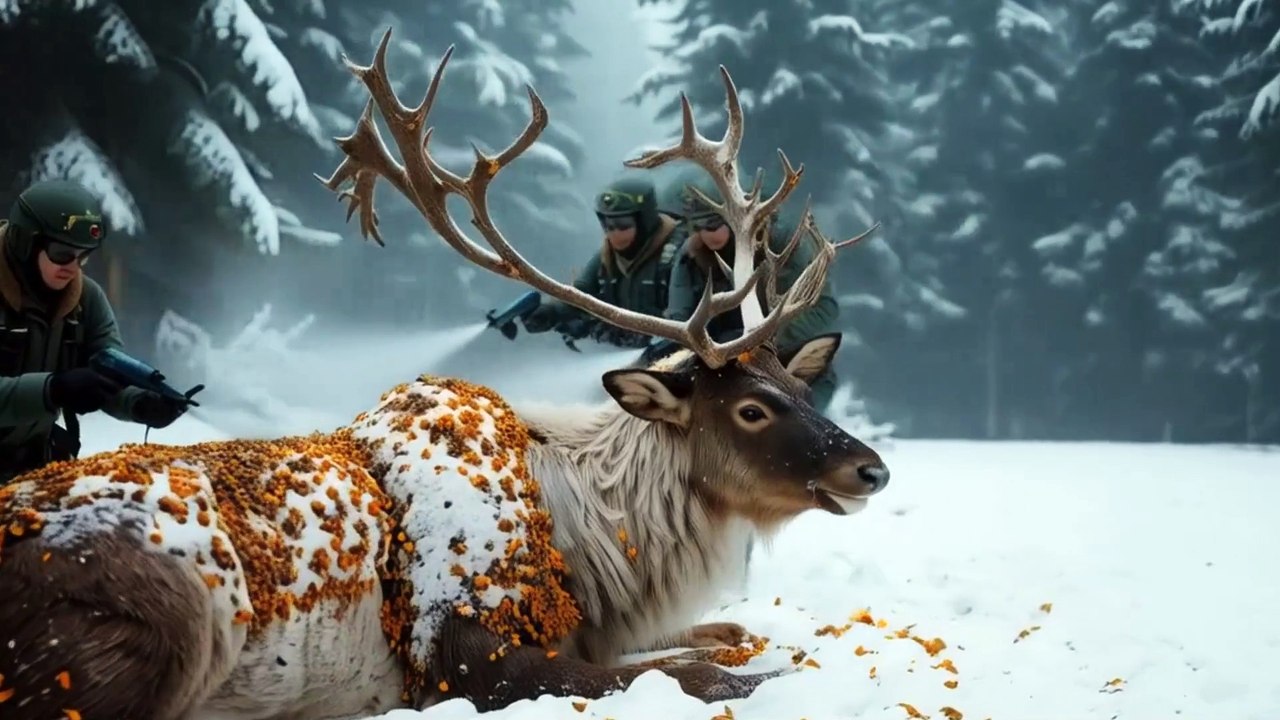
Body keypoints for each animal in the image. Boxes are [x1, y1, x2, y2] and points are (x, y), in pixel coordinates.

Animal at [0, 29, 889, 720]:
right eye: (750, 410)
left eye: (801, 390)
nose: (871, 469)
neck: (604, 554)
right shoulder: (466, 653)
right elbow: (702, 673)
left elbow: (721, 634)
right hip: (170, 617)